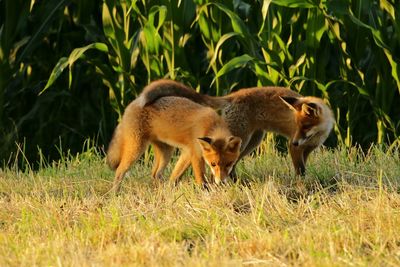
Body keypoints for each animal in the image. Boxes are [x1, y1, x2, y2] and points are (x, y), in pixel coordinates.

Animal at [106, 82, 241, 192]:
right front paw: (204, 192)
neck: (211, 126)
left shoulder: (187, 152)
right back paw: (115, 194)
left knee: (155, 173)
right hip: (136, 149)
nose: (221, 182)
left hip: (166, 152)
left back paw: (159, 192)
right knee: (120, 170)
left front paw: (171, 192)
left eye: (229, 164)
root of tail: (133, 103)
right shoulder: (195, 153)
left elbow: (175, 176)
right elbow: (200, 178)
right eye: (213, 164)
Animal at [139, 79, 336, 178]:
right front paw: (301, 187)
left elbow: (303, 168)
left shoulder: (307, 149)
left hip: (251, 143)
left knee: (229, 165)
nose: (295, 141)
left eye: (305, 126)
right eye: (297, 126)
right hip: (241, 140)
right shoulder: (294, 148)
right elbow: (300, 171)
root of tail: (233, 95)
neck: (318, 134)